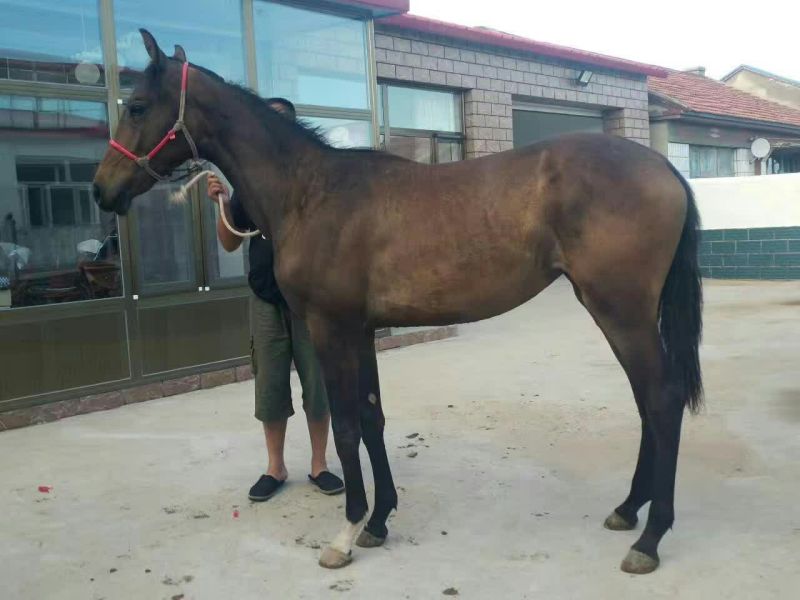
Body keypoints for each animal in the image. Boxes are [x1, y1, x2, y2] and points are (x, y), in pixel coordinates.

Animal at [93, 30, 703, 575]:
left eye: (138, 105)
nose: (102, 189)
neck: (310, 193)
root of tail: (665, 167)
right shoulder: (361, 330)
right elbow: (372, 417)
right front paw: (380, 521)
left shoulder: (331, 328)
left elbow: (343, 426)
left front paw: (345, 532)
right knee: (647, 402)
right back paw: (628, 509)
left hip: (619, 311)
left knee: (662, 399)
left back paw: (650, 538)